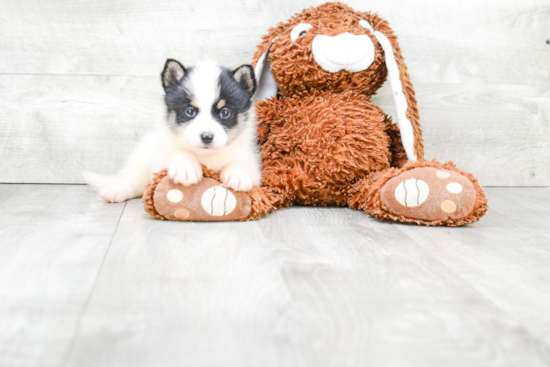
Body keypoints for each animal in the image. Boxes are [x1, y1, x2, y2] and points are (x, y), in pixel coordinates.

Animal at [82, 60, 264, 204]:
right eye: (190, 111)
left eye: (225, 112)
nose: (206, 137)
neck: (205, 156)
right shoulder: (160, 158)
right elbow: (178, 152)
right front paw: (186, 169)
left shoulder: (251, 163)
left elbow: (239, 164)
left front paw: (238, 175)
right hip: (142, 156)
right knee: (132, 181)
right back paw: (116, 190)